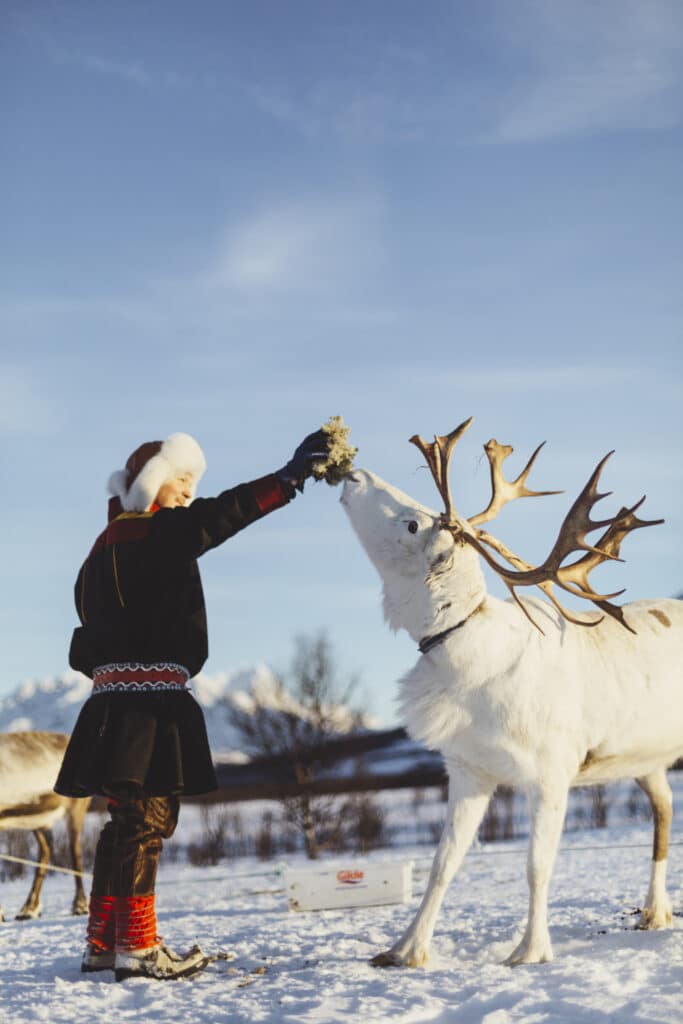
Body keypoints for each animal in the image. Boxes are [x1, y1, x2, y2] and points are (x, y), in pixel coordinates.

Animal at [0, 732, 90, 922]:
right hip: (39, 822)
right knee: (46, 850)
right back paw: (29, 909)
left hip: (76, 807)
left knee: (75, 851)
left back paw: (80, 906)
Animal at [340, 416, 682, 966]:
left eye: (413, 524)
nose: (353, 473)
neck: (465, 657)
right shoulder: (469, 770)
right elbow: (442, 865)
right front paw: (406, 948)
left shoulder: (551, 775)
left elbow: (536, 867)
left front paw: (531, 949)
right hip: (646, 762)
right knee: (665, 812)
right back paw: (655, 911)